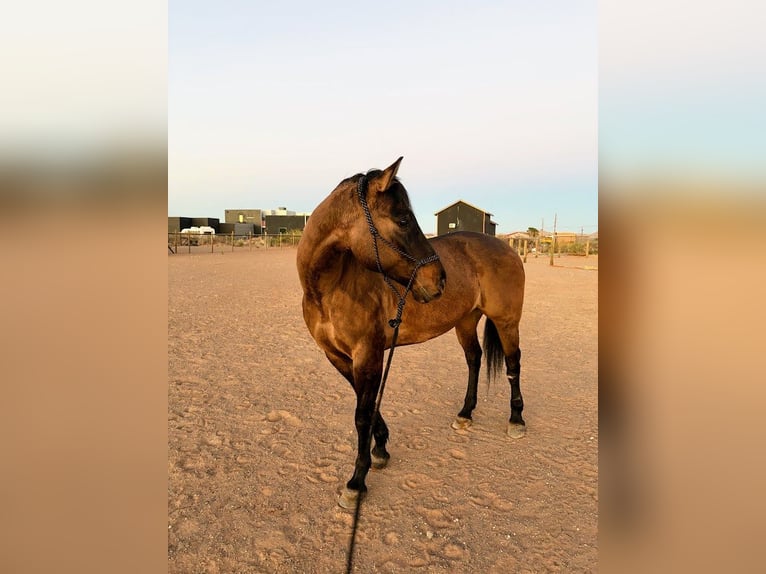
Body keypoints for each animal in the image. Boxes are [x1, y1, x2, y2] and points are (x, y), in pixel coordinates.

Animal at [296, 157, 526, 508]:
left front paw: (356, 482)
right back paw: (465, 413)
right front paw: (380, 450)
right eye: (403, 219)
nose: (439, 279)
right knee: (474, 359)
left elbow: (362, 414)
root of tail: (506, 247)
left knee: (514, 364)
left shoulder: (368, 354)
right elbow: (366, 407)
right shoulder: (338, 357)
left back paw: (516, 420)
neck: (331, 287)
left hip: (506, 322)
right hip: (465, 321)